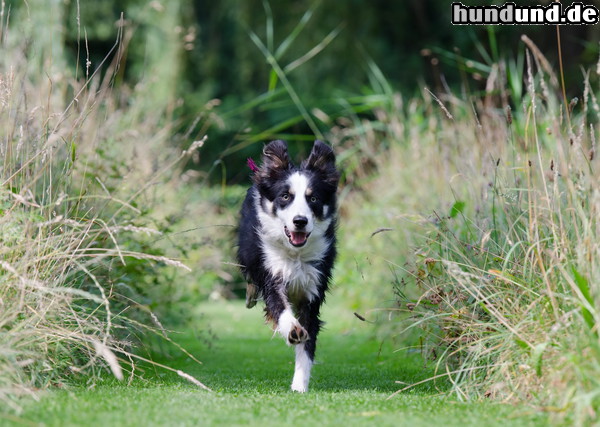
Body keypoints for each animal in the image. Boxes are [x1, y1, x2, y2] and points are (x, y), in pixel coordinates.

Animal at [238, 140, 340, 394]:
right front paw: (292, 329)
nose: (300, 221)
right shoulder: (271, 272)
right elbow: (279, 305)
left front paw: (299, 385)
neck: (295, 254)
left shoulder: (313, 286)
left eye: (313, 199)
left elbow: (307, 342)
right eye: (285, 196)